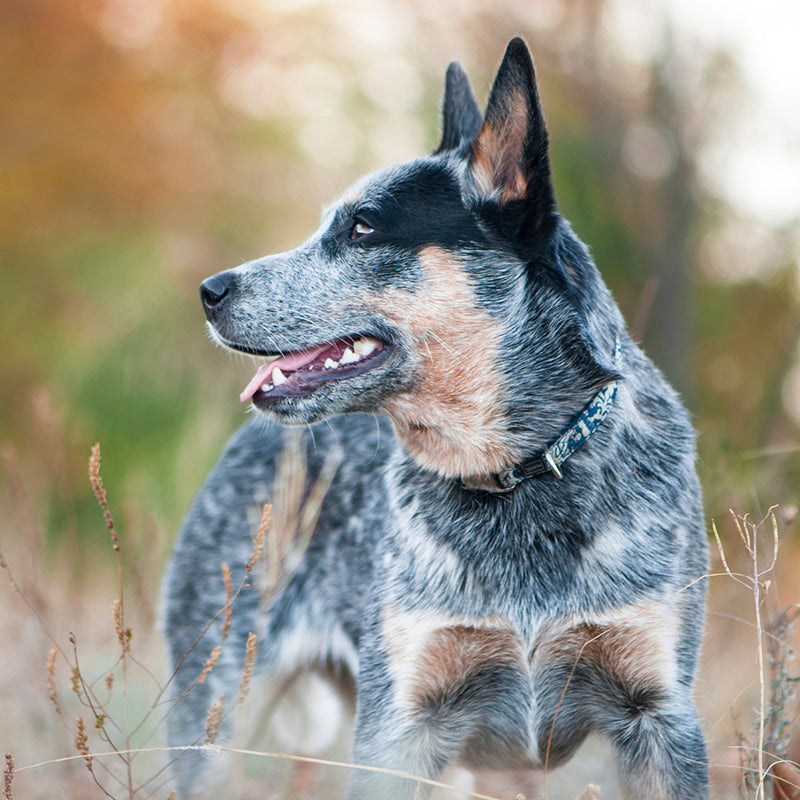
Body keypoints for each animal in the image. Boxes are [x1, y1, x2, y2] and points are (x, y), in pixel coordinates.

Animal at [161, 37, 708, 800]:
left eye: (362, 226)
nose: (209, 291)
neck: (517, 476)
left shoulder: (659, 716)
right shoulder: (399, 724)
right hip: (214, 712)